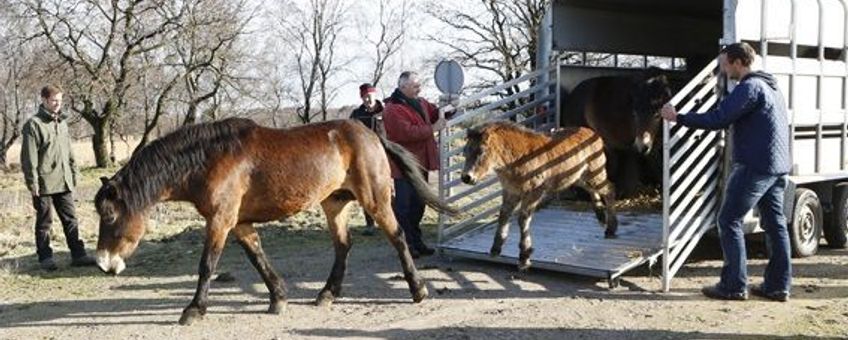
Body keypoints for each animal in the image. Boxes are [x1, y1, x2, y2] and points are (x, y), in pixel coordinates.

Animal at [94, 118, 458, 326]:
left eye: (109, 214)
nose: (103, 264)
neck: (210, 158)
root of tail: (370, 133)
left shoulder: (220, 220)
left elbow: (207, 265)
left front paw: (194, 309)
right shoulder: (238, 223)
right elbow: (258, 258)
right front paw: (279, 297)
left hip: (376, 200)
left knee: (398, 237)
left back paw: (418, 289)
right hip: (334, 203)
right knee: (343, 245)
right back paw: (327, 293)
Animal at [460, 121, 620, 270]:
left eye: (481, 151)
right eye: (465, 150)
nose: (466, 178)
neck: (517, 158)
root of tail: (594, 134)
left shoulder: (534, 192)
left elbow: (523, 219)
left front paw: (524, 258)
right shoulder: (510, 191)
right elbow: (504, 215)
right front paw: (495, 248)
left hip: (595, 173)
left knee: (609, 189)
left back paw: (610, 229)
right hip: (578, 176)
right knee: (593, 189)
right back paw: (601, 216)